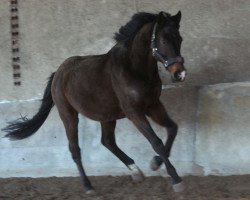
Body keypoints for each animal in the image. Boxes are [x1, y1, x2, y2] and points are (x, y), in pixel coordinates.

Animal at [1, 10, 186, 194]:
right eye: (163, 40)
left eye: (180, 39)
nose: (180, 74)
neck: (135, 69)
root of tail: (58, 73)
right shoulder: (134, 112)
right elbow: (156, 142)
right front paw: (175, 179)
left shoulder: (153, 105)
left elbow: (172, 129)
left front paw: (156, 163)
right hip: (68, 115)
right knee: (75, 149)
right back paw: (88, 186)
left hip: (107, 115)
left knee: (108, 142)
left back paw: (135, 171)